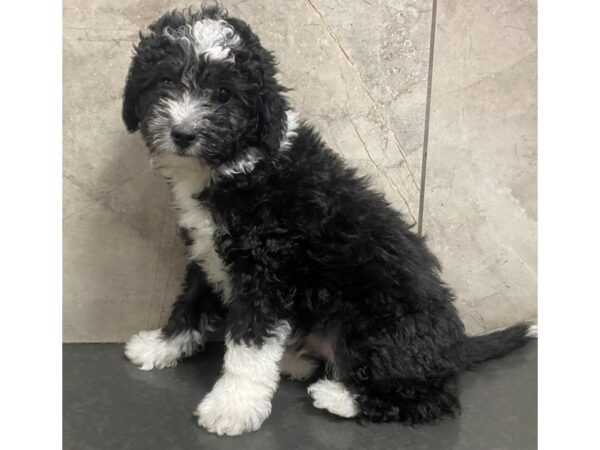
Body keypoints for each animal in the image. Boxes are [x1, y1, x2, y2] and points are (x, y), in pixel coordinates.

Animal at [120, 3, 536, 438]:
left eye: (223, 94)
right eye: (165, 80)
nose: (182, 133)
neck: (238, 164)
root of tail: (456, 347)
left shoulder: (265, 272)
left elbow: (249, 343)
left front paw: (233, 405)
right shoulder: (207, 253)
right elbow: (190, 302)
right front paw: (161, 346)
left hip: (378, 323)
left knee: (429, 397)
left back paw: (337, 395)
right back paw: (298, 362)